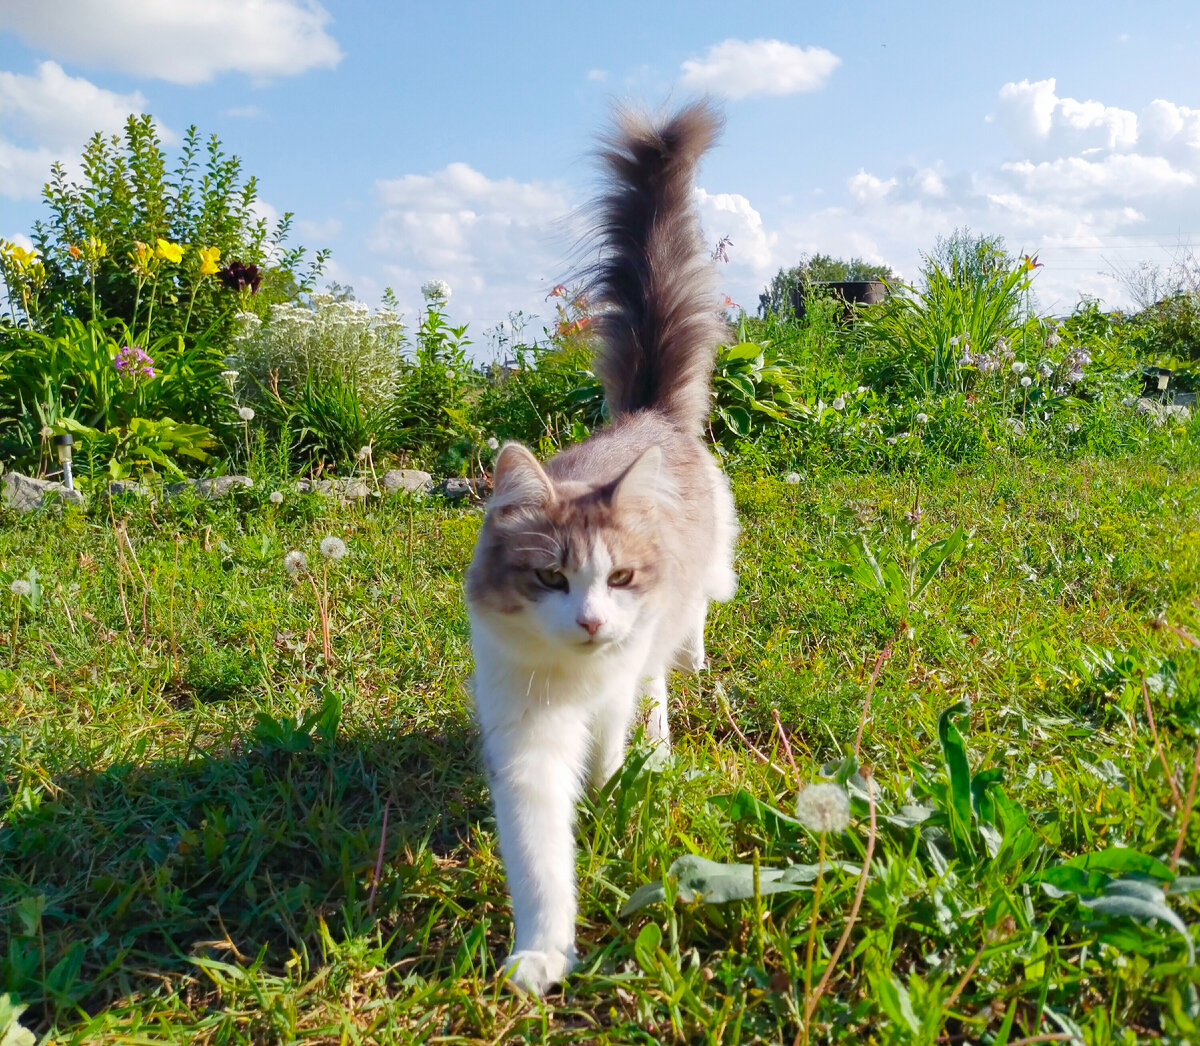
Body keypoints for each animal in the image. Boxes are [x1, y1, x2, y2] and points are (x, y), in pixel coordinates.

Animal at [463, 100, 734, 998]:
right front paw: (541, 956)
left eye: (616, 576)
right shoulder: (523, 742)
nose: (589, 622)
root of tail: (647, 416)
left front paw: (619, 793)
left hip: (698, 591)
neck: (574, 686)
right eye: (551, 577)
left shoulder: (612, 689)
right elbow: (542, 860)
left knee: (673, 655)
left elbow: (615, 754)